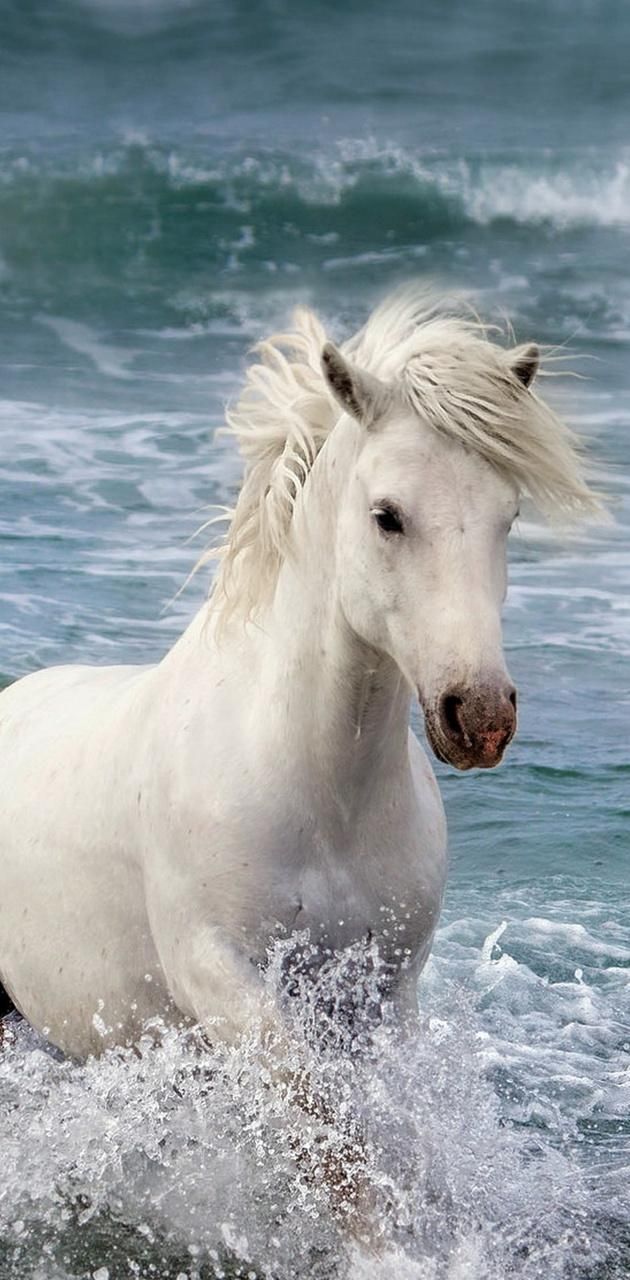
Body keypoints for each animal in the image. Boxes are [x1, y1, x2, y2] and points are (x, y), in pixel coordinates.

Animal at [0, 288, 599, 1203]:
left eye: (509, 518)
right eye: (387, 516)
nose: (480, 714)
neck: (319, 794)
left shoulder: (384, 994)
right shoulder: (220, 977)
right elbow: (327, 1137)